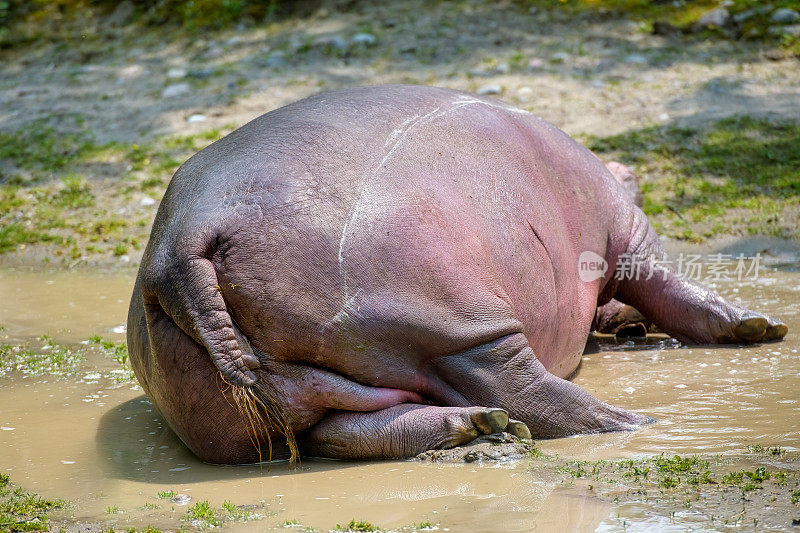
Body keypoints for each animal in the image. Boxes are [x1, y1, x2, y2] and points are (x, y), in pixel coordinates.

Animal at [126, 85, 788, 464]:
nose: (624, 328)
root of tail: (185, 242)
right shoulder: (626, 228)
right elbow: (671, 284)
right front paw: (760, 326)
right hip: (454, 320)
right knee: (523, 384)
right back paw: (633, 423)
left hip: (249, 404)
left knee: (346, 429)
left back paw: (479, 429)